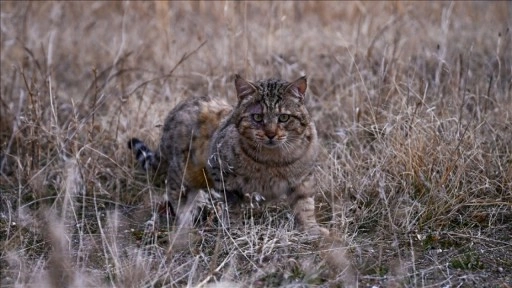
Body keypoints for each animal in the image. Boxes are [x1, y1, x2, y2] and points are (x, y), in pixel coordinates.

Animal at [128, 74, 328, 236]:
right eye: (257, 117)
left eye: (284, 117)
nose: (271, 134)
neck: (273, 160)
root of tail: (174, 111)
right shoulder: (222, 174)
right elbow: (233, 207)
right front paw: (235, 230)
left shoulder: (303, 179)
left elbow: (305, 206)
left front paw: (312, 230)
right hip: (184, 170)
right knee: (173, 189)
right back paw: (185, 220)